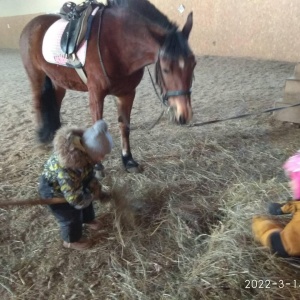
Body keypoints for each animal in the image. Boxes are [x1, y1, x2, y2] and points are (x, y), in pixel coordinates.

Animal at [19, 0, 196, 171]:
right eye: (166, 69)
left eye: (193, 64)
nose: (184, 114)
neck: (117, 42)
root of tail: (32, 24)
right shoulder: (96, 94)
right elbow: (98, 129)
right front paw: (97, 165)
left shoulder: (127, 93)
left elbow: (124, 126)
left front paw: (128, 160)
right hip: (36, 78)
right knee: (38, 104)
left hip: (58, 82)